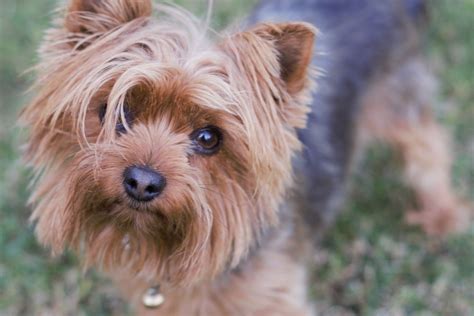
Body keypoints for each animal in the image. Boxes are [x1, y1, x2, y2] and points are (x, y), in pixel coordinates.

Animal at [20, 0, 468, 314]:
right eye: (119, 113)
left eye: (208, 137)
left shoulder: (274, 297)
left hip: (398, 98)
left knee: (429, 144)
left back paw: (442, 214)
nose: (142, 181)